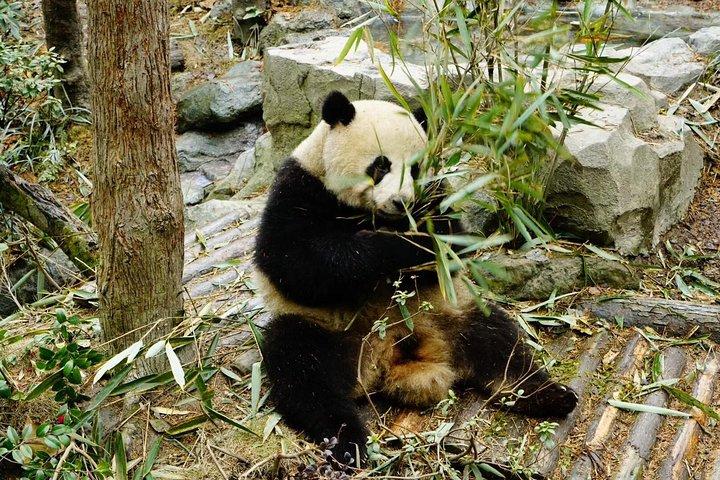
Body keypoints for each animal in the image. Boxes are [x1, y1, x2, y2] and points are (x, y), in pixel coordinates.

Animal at [254, 91, 578, 462]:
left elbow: (455, 242)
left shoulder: (439, 196)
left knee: (502, 347)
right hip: (326, 328)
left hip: (453, 311)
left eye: (416, 168)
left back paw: (551, 395)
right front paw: (403, 246)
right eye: (381, 165)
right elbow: (299, 264)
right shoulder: (300, 189)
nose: (402, 202)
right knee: (304, 372)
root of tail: (386, 361)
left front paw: (427, 239)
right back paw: (348, 441)